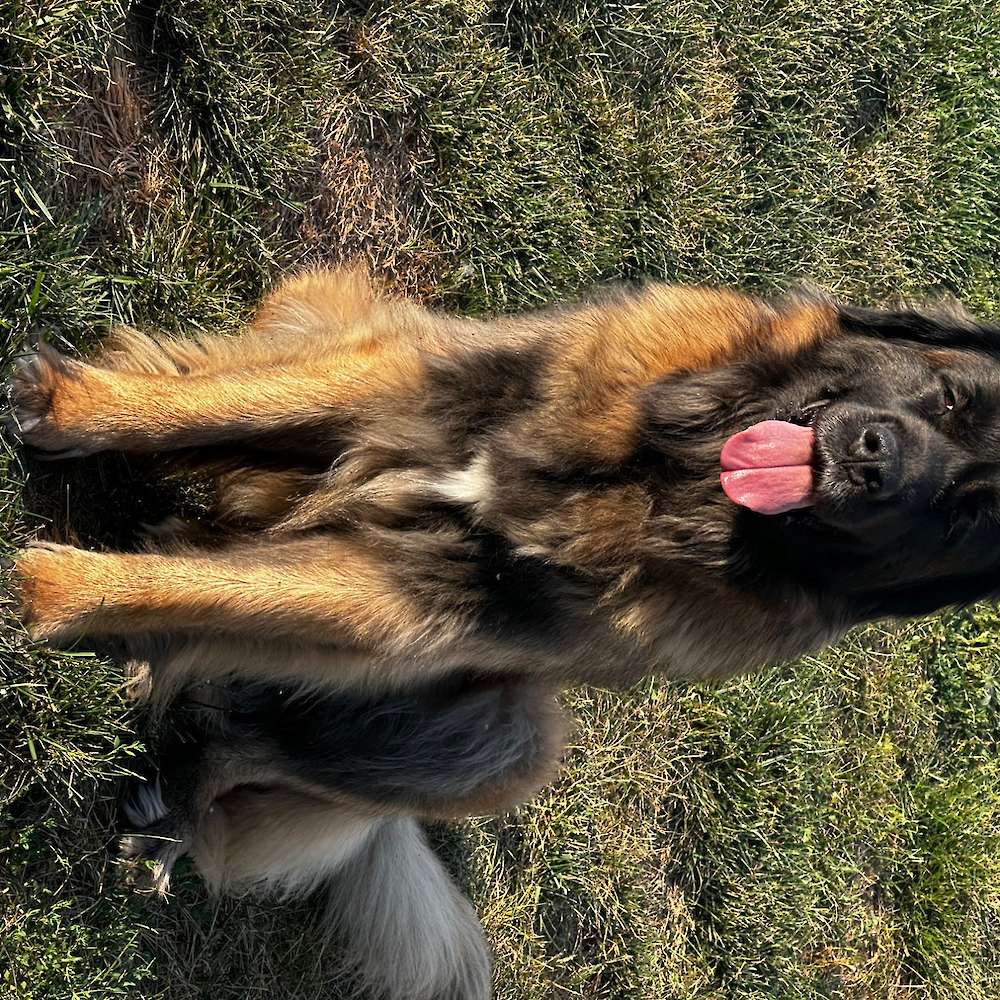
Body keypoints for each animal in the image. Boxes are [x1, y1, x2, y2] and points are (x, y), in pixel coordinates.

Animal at [7, 268, 1000, 999]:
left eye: (969, 511)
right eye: (950, 400)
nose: (877, 462)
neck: (662, 483)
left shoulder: (415, 605)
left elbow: (234, 596)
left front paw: (47, 592)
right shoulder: (422, 384)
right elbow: (232, 408)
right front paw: (68, 412)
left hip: (511, 743)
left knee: (240, 738)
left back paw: (171, 810)